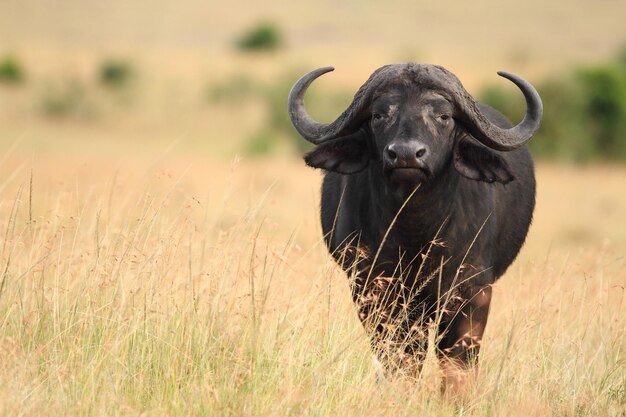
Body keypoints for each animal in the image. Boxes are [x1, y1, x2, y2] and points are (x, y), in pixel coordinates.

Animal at [286, 63, 540, 392]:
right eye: (379, 115)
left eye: (443, 116)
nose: (406, 154)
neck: (415, 232)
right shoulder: (373, 290)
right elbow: (400, 355)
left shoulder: (471, 292)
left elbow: (456, 358)